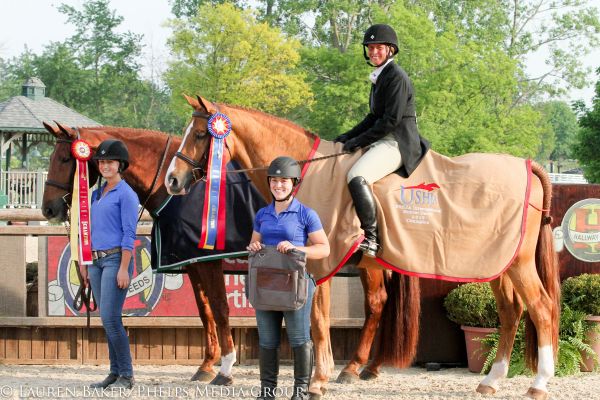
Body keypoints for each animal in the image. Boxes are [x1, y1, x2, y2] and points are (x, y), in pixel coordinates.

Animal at [39, 122, 239, 384]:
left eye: (64, 159)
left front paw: (226, 368)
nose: (48, 209)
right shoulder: (195, 263)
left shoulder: (209, 262)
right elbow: (205, 310)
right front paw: (206, 365)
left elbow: (220, 308)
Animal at [165, 94, 564, 400]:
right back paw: (491, 380)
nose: (172, 180)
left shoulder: (319, 263)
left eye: (200, 134)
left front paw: (319, 381)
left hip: (518, 264)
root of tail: (528, 166)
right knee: (512, 312)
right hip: (498, 265)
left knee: (542, 309)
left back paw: (539, 384)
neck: (304, 171)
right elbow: (316, 321)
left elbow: (318, 322)